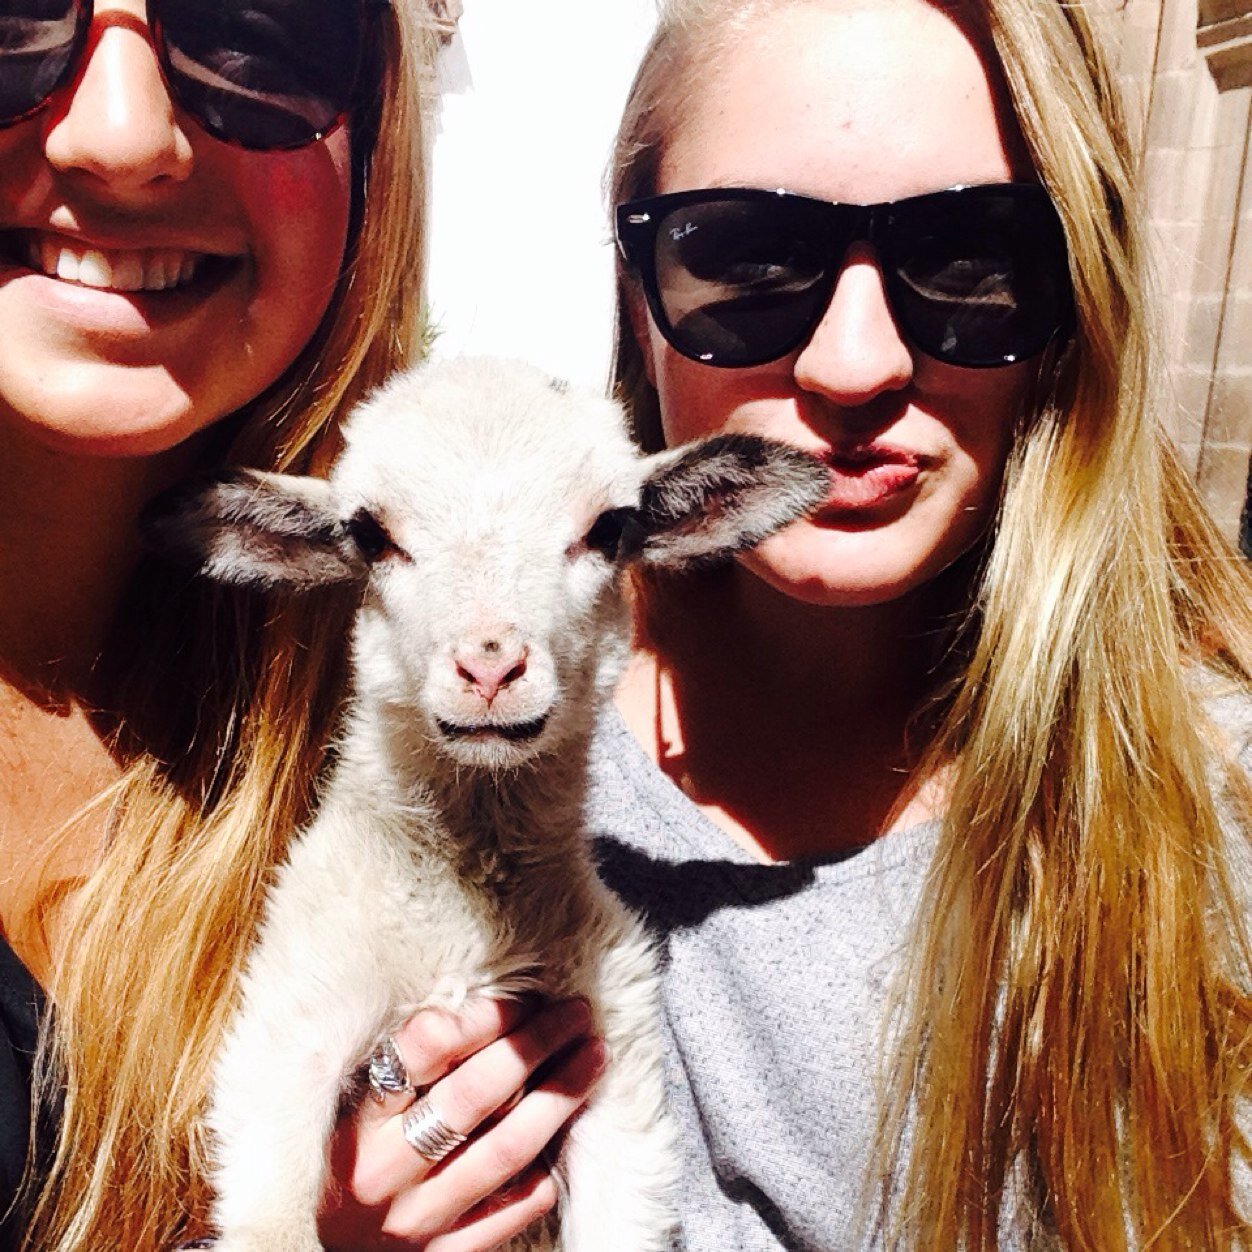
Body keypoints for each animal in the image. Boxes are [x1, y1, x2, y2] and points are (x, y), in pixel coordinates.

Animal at [145, 355, 828, 1252]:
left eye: (611, 529)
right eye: (370, 536)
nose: (491, 667)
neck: (466, 902)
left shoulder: (623, 1078)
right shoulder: (291, 1026)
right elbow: (269, 1223)